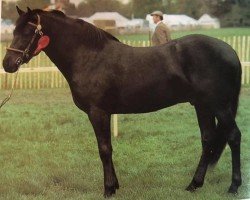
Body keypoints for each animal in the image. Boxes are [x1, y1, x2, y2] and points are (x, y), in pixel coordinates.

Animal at [2, 7, 242, 197]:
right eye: (14, 31)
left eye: (28, 31)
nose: (8, 64)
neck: (89, 57)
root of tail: (230, 51)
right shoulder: (106, 113)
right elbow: (108, 147)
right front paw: (115, 185)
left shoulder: (97, 112)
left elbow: (104, 149)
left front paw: (108, 189)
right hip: (202, 105)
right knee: (208, 139)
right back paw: (194, 184)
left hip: (220, 106)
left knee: (233, 136)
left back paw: (233, 186)